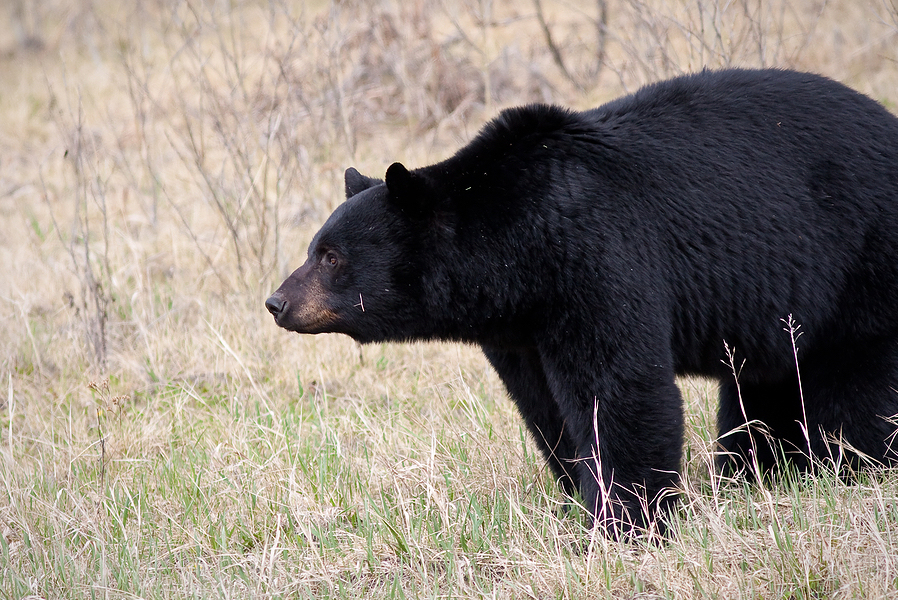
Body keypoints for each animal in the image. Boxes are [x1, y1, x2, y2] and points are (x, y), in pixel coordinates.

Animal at [266, 68, 898, 535]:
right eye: (315, 247)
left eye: (331, 257)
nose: (276, 302)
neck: (517, 245)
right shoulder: (519, 325)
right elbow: (545, 405)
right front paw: (575, 494)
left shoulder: (596, 257)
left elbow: (615, 386)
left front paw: (626, 520)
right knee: (766, 383)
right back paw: (763, 473)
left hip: (860, 262)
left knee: (854, 383)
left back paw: (854, 468)